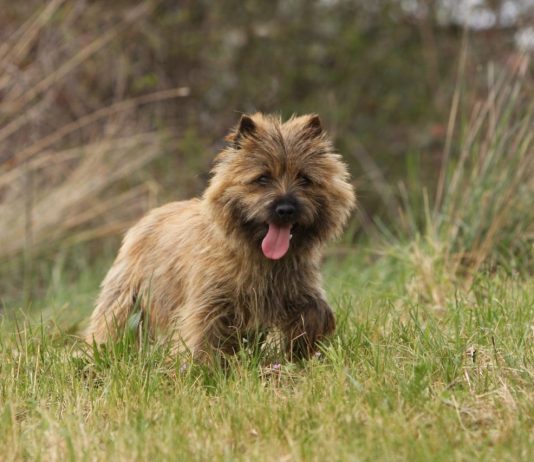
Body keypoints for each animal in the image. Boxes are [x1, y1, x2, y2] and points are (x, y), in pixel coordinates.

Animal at [87, 113, 356, 360]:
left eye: (304, 178)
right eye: (262, 178)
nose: (285, 209)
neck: (258, 255)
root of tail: (149, 216)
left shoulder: (300, 290)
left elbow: (315, 312)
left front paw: (302, 354)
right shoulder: (209, 304)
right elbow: (203, 337)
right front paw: (200, 370)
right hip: (125, 296)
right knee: (111, 324)